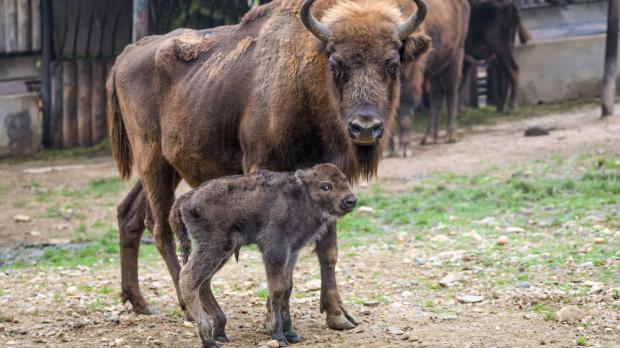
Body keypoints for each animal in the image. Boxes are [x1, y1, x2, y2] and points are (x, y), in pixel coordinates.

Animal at [170, 164, 356, 348]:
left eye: (345, 180)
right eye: (326, 186)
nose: (350, 201)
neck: (301, 195)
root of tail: (187, 197)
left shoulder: (292, 252)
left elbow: (287, 288)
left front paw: (292, 334)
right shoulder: (275, 251)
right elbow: (277, 289)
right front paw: (279, 335)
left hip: (223, 251)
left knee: (203, 283)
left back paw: (220, 332)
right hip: (213, 247)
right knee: (188, 278)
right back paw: (208, 339)